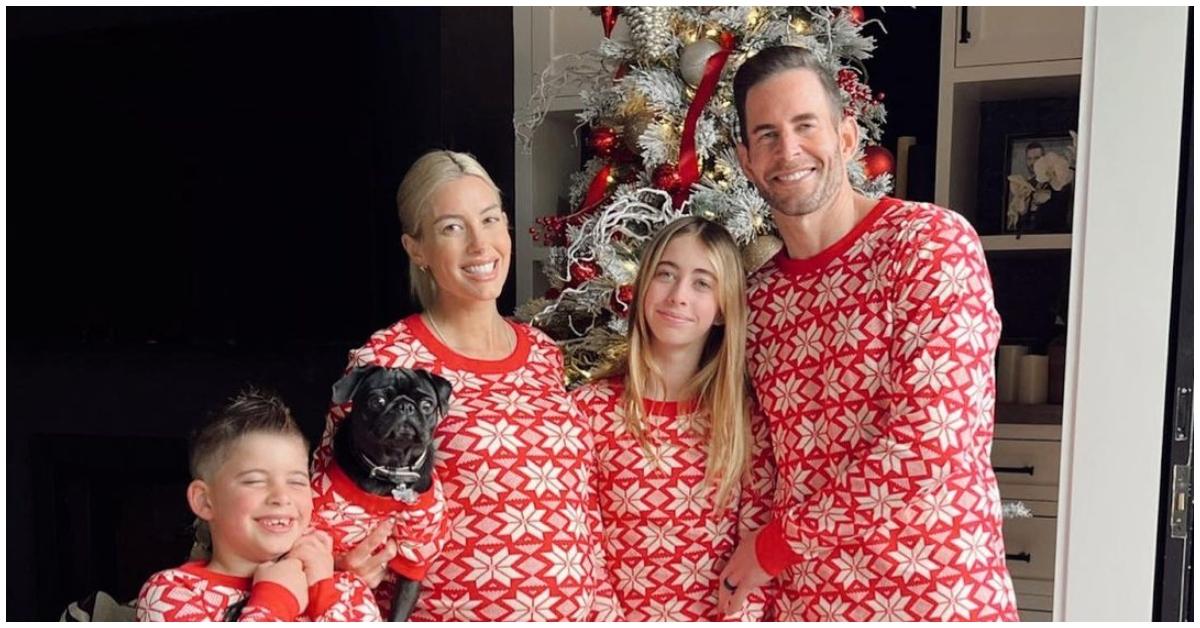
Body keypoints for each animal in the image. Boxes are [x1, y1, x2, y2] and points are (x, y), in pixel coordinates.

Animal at [324, 365, 451, 619]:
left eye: (427, 405)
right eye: (377, 401)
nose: (405, 406)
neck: (392, 472)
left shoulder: (416, 556)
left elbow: (400, 608)